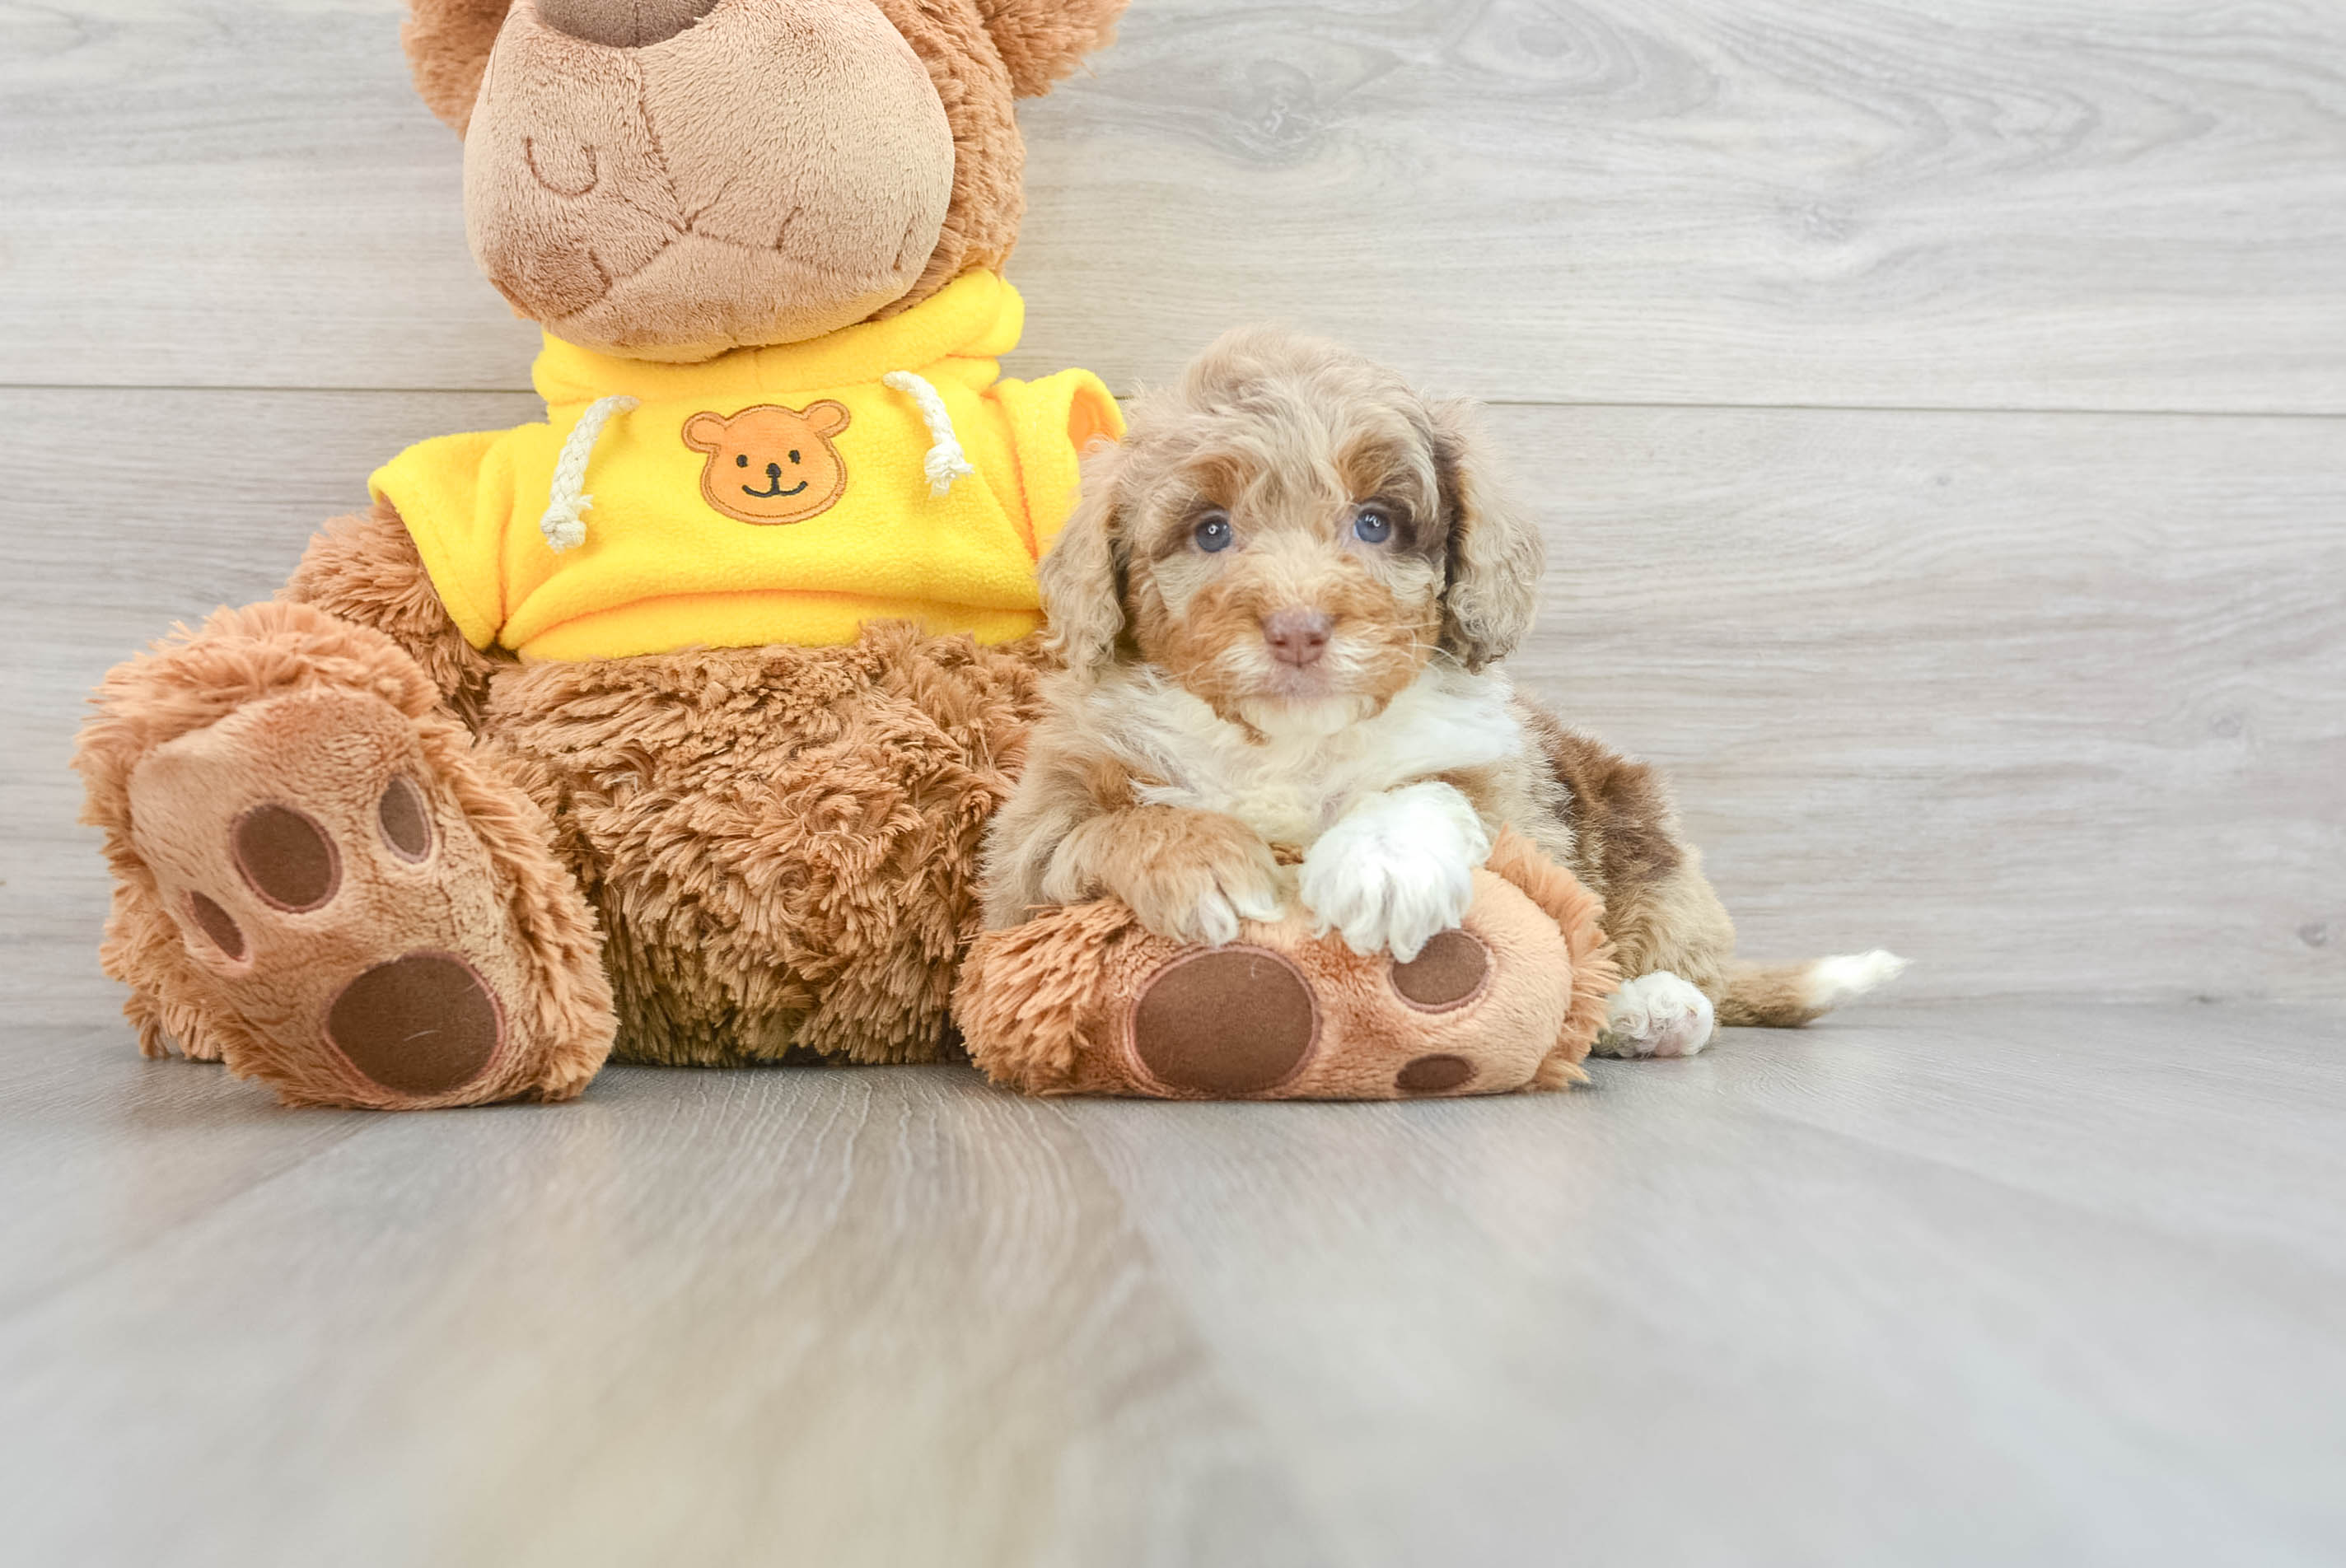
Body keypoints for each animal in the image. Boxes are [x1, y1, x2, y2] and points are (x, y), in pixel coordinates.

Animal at [980, 334, 1895, 1059]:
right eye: (1210, 530)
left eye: (1374, 523)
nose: (1298, 628)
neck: (1290, 740)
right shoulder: (1020, 863)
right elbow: (1091, 830)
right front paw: (1200, 857)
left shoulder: (1510, 795)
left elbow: (1439, 793)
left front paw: (1384, 864)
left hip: (1639, 838)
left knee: (1659, 959)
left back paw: (1652, 1007)